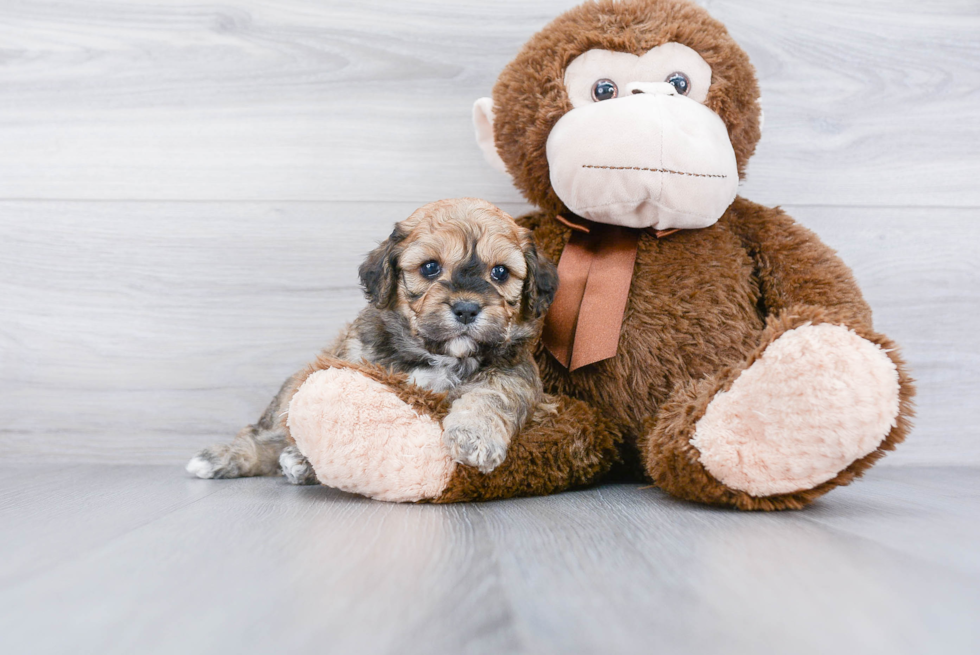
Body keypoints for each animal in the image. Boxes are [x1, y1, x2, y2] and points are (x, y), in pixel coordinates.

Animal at [188, 197, 560, 484]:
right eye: (430, 268)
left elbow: (491, 396)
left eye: (500, 272)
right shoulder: (356, 362)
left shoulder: (514, 371)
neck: (438, 356)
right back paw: (227, 458)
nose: (467, 309)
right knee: (266, 434)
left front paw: (475, 437)